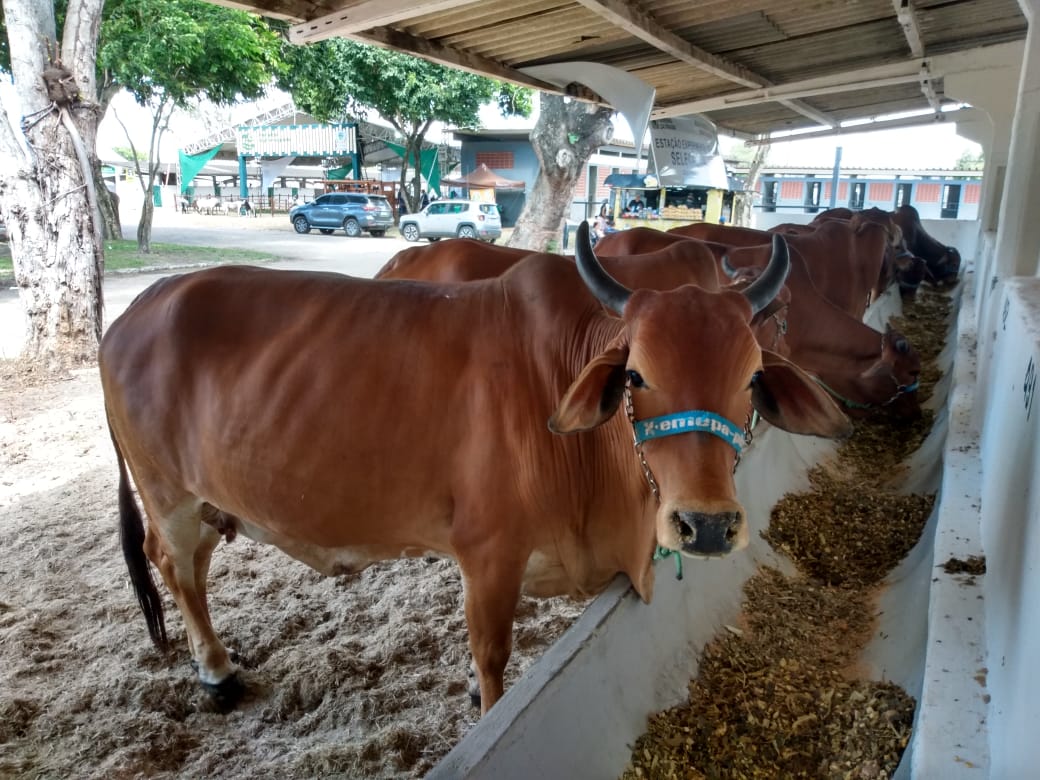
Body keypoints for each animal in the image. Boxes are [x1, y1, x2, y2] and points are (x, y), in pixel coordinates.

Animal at [101, 224, 848, 715]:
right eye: (636, 373)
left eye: (751, 379)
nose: (708, 525)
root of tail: (136, 309)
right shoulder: (488, 556)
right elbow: (492, 657)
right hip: (170, 496)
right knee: (177, 569)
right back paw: (217, 671)